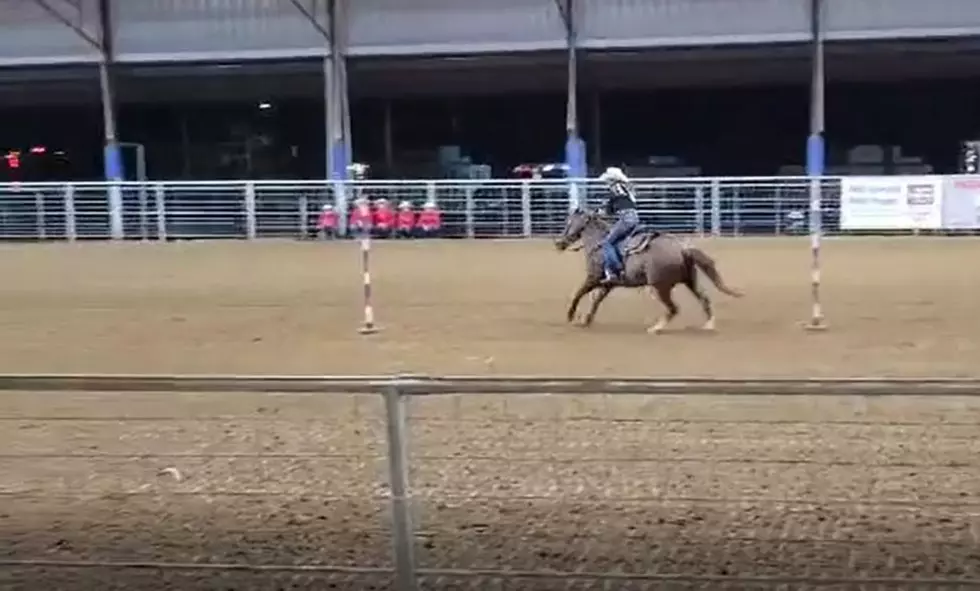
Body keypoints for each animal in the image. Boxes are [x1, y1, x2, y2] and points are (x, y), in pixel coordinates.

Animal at [552, 208, 744, 332]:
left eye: (569, 222)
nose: (559, 243)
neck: (598, 242)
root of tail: (682, 249)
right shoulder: (609, 283)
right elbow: (596, 300)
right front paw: (585, 320)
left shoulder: (592, 278)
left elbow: (578, 293)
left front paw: (570, 316)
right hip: (690, 280)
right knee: (704, 299)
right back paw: (708, 325)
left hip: (660, 287)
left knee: (674, 308)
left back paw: (656, 327)